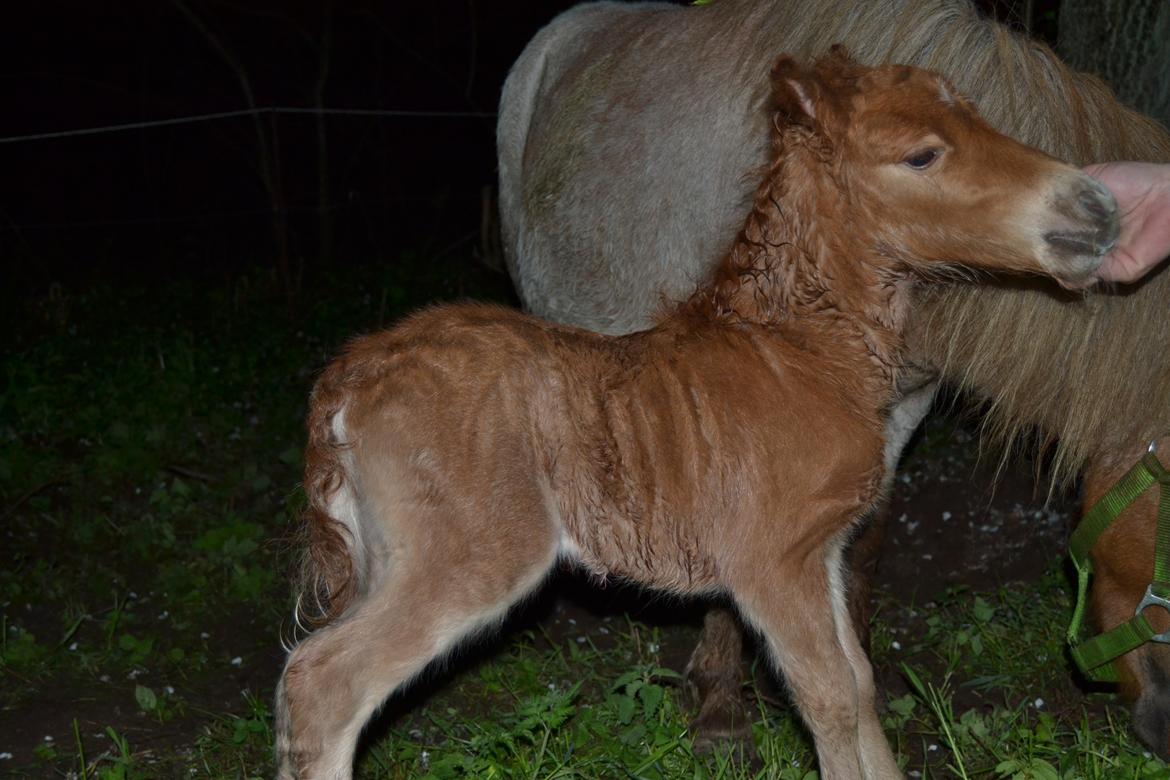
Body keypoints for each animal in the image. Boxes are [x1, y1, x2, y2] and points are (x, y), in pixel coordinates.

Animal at [278, 51, 1118, 776]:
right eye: (921, 156)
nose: (1098, 206)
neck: (801, 349)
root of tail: (347, 382)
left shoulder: (822, 552)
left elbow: (860, 684)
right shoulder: (772, 562)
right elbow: (828, 698)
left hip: (382, 557)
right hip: (469, 553)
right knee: (323, 684)